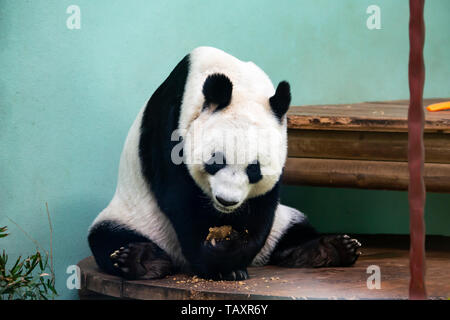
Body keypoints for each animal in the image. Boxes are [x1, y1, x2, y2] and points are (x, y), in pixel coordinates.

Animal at [89, 47, 362, 280]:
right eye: (216, 161)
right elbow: (180, 198)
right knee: (106, 238)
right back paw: (140, 260)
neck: (238, 83)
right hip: (135, 217)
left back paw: (328, 249)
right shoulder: (171, 122)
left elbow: (261, 207)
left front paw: (229, 257)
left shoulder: (281, 142)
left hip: (283, 220)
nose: (226, 201)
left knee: (295, 228)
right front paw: (217, 263)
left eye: (254, 170)